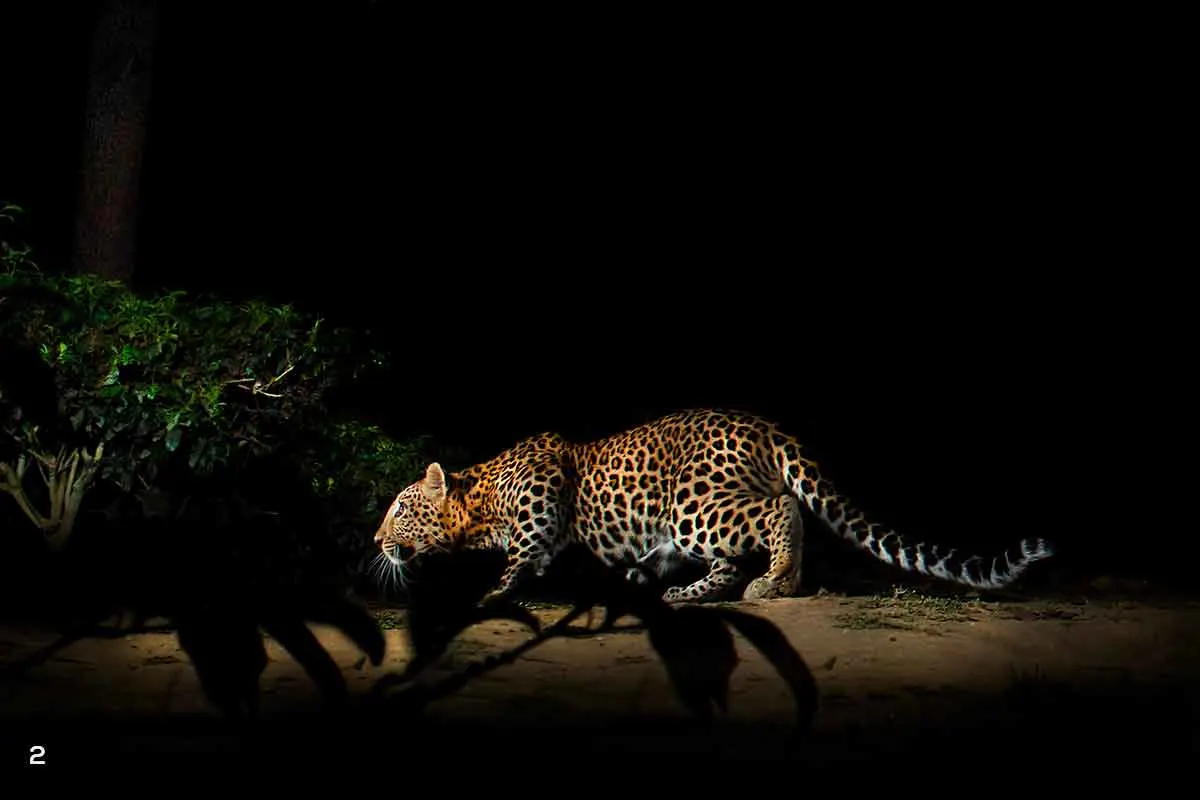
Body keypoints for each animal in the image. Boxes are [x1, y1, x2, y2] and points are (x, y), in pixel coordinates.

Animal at [372, 409, 1053, 605]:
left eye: (400, 509)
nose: (376, 542)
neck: (480, 501)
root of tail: (768, 428)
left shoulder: (538, 521)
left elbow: (517, 564)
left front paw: (484, 597)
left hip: (694, 506)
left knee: (783, 509)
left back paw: (778, 582)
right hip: (690, 521)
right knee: (727, 558)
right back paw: (686, 593)